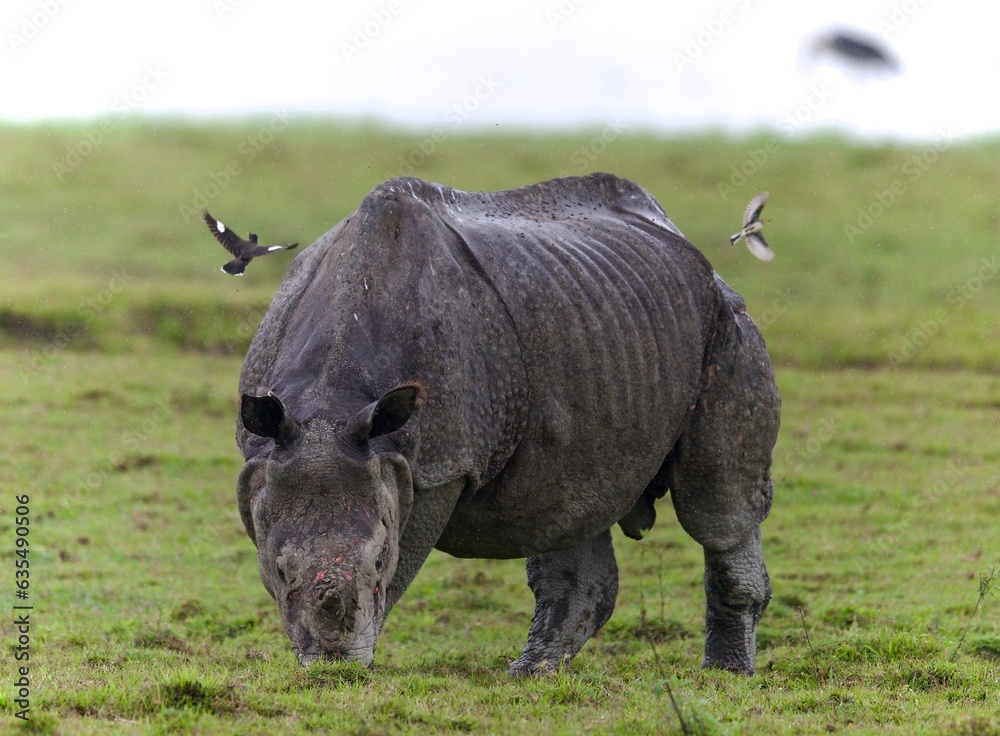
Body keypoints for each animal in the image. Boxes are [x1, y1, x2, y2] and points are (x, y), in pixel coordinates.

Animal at [236, 173, 780, 675]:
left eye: (376, 562)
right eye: (279, 570)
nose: (335, 664)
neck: (330, 405)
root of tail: (677, 235)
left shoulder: (440, 463)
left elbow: (402, 561)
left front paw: (361, 656)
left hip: (724, 325)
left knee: (716, 508)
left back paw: (725, 674)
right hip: (599, 323)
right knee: (566, 503)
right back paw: (533, 672)